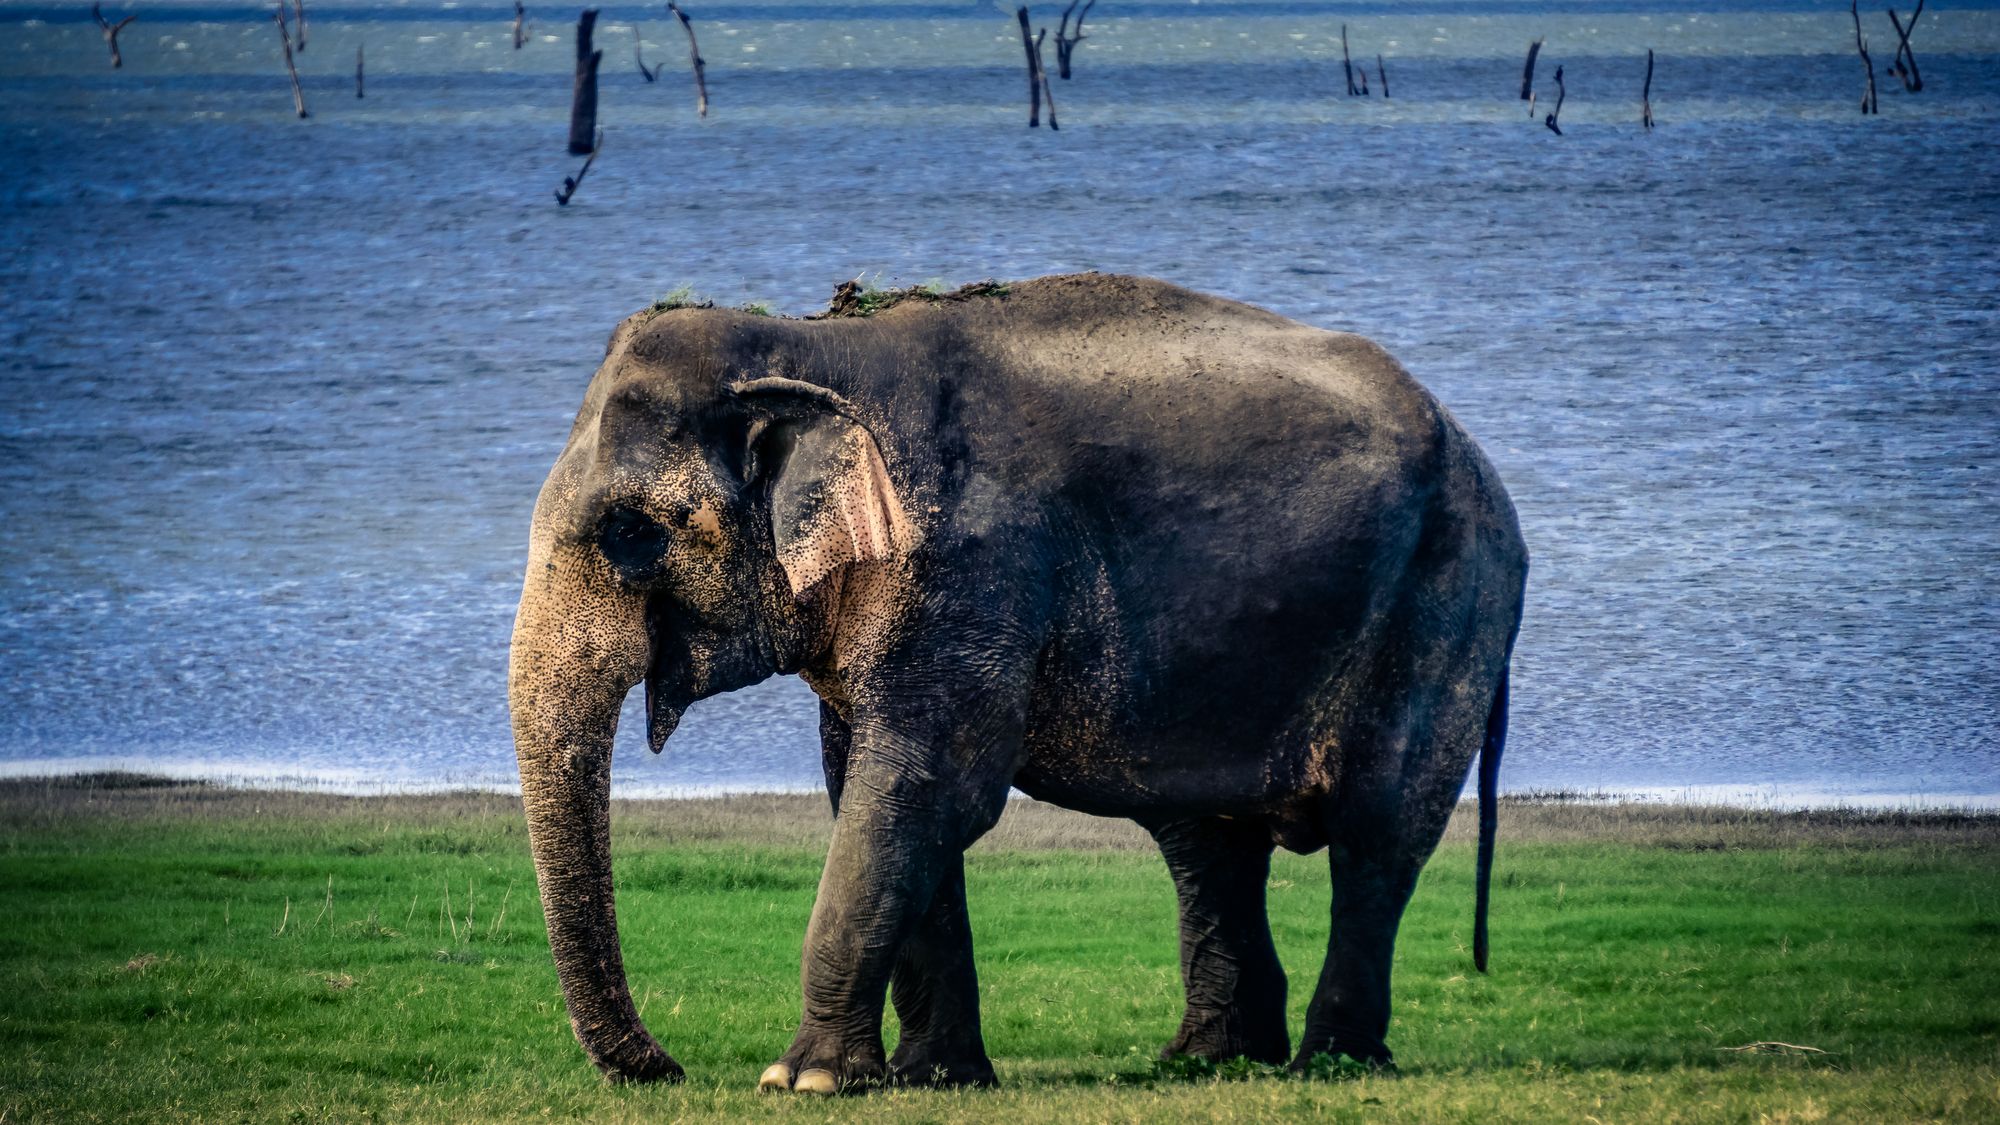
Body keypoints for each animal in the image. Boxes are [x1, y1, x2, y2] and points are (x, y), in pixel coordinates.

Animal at [508, 266, 1520, 1088]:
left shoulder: (974, 571)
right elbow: (871, 788)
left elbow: (923, 788)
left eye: (631, 534)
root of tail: (1478, 452)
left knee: (1377, 831)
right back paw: (1208, 1059)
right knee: (1207, 839)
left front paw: (803, 1081)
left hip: (1447, 602)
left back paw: (1330, 1062)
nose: (666, 1067)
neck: (808, 343)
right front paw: (930, 1077)